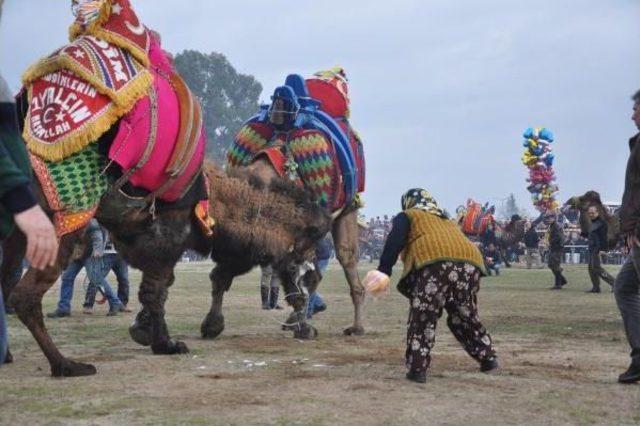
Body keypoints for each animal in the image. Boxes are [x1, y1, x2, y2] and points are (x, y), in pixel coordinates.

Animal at [1, 0, 330, 376]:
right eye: (309, 241)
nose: (311, 274)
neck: (214, 200)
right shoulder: (167, 238)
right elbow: (156, 292)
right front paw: (166, 344)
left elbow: (161, 289)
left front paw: (147, 332)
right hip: (60, 220)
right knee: (24, 295)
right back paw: (67, 365)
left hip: (17, 229)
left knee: (6, 284)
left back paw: (10, 355)